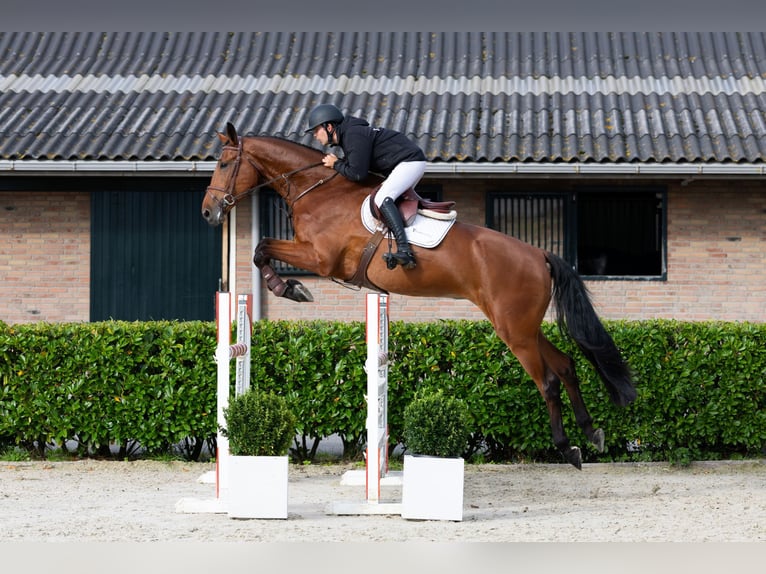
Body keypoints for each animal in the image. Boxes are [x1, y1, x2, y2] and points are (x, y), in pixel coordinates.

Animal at [201, 122, 637, 469]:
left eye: (223, 165)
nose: (208, 213)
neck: (318, 191)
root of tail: (539, 254)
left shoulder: (321, 259)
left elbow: (262, 248)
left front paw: (290, 287)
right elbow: (262, 250)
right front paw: (288, 287)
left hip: (514, 330)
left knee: (546, 380)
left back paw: (567, 447)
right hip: (522, 325)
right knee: (565, 365)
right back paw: (591, 434)